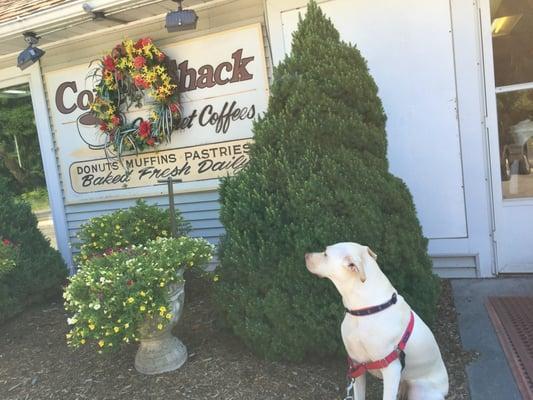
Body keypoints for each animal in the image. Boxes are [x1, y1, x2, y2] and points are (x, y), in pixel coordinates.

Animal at [304, 242, 448, 400]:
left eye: (325, 254)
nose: (305, 255)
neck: (365, 310)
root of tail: (445, 388)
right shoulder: (356, 365)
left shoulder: (391, 369)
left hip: (419, 390)